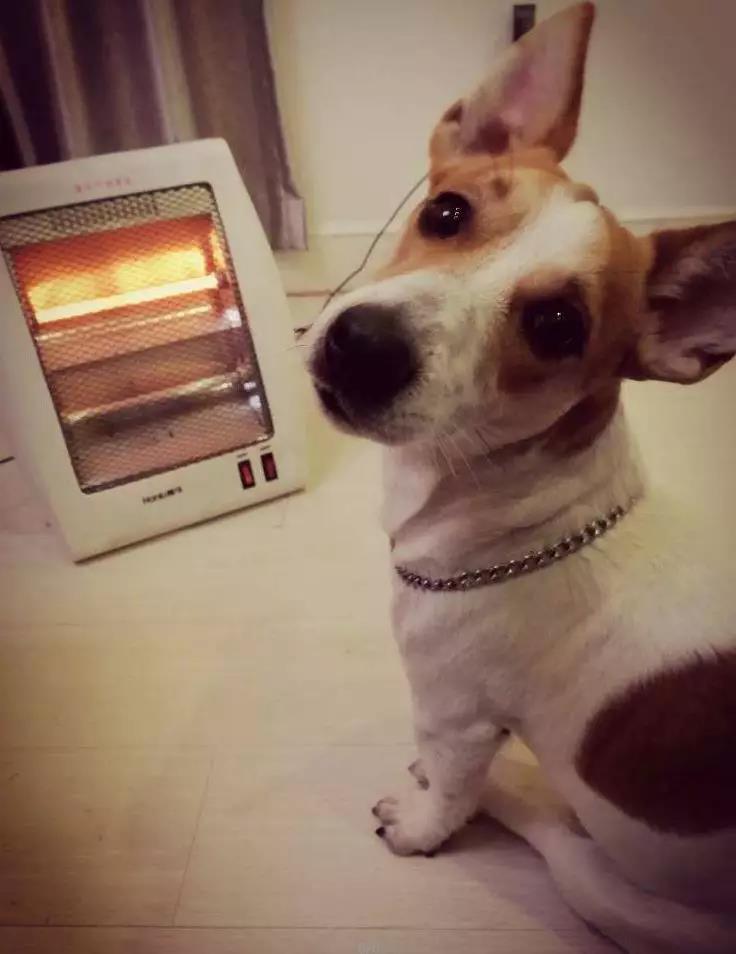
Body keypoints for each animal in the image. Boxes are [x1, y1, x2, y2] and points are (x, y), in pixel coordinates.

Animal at [306, 4, 736, 951]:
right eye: (445, 211)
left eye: (557, 324)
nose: (364, 345)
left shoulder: (457, 714)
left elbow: (450, 791)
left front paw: (422, 823)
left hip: (609, 891)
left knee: (555, 836)